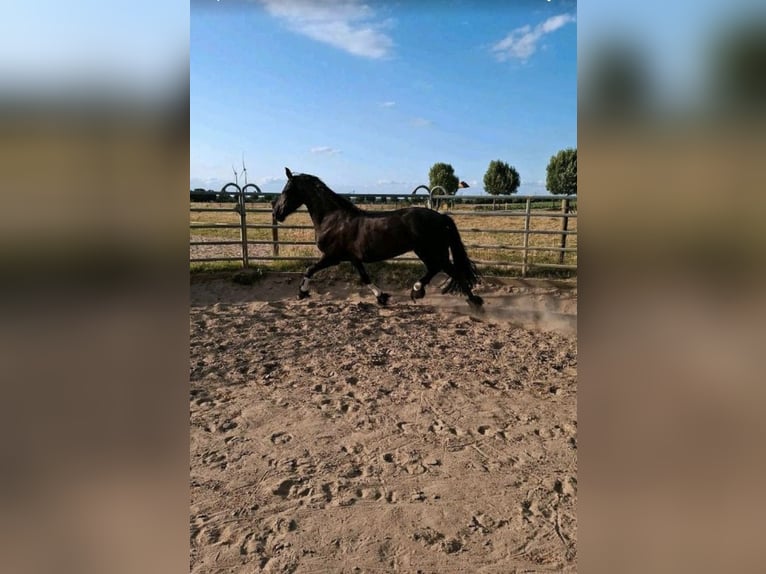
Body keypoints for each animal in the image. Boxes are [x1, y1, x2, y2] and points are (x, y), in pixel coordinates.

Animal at [272, 168, 483, 308]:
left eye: (287, 190)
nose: (277, 213)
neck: (333, 218)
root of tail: (441, 217)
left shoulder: (333, 256)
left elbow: (310, 269)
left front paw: (301, 293)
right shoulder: (353, 258)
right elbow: (364, 277)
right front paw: (382, 297)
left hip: (431, 251)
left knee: (452, 271)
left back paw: (474, 302)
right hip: (427, 252)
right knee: (436, 269)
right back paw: (417, 290)